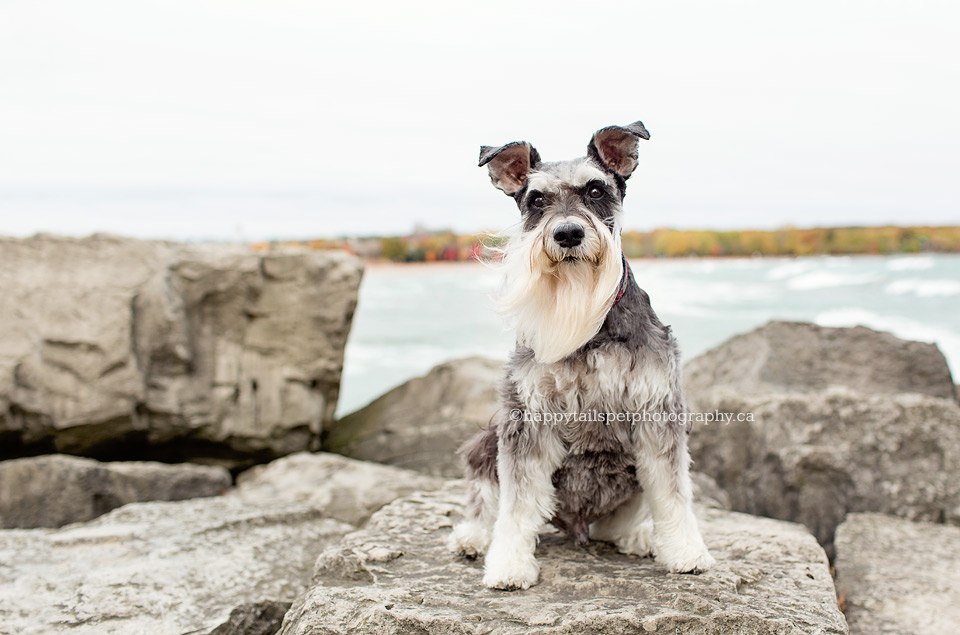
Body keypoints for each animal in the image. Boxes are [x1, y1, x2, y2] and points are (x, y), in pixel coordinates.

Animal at [444, 120, 712, 592]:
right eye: (536, 199)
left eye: (596, 190)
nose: (568, 233)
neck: (589, 325)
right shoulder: (527, 418)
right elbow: (516, 505)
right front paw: (509, 566)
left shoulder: (657, 411)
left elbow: (672, 491)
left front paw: (685, 552)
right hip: (486, 442)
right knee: (487, 501)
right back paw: (472, 538)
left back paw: (638, 536)